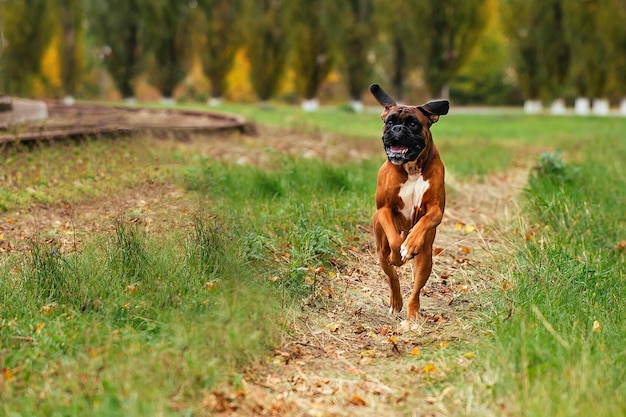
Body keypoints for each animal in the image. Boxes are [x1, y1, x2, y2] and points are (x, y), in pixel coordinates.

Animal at [368, 84, 446, 318]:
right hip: (380, 250)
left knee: (417, 288)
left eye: (413, 123)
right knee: (391, 275)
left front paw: (410, 244)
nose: (397, 129)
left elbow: (426, 220)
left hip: (426, 258)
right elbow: (395, 241)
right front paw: (398, 256)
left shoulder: (436, 209)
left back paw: (412, 313)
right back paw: (396, 301)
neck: (410, 167)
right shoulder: (384, 208)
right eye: (389, 122)